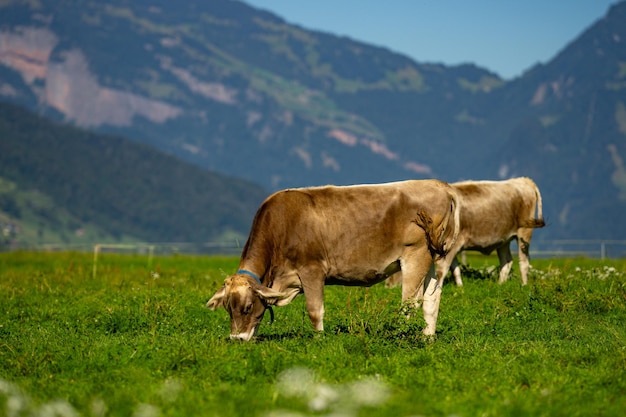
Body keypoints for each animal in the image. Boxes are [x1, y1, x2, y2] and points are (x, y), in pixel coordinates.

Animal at [205, 180, 458, 340]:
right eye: (227, 308)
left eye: (247, 306)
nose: (237, 339)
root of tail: (438, 184)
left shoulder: (311, 269)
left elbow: (314, 310)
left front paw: (319, 340)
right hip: (430, 258)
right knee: (432, 298)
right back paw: (427, 338)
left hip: (415, 254)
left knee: (410, 303)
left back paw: (404, 337)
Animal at [388, 177, 544, 288]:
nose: (388, 285)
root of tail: (522, 180)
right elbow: (455, 268)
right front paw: (460, 287)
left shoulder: (453, 245)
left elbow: (442, 269)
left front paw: (438, 287)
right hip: (503, 240)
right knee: (507, 261)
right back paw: (500, 284)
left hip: (524, 233)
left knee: (523, 261)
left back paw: (524, 285)